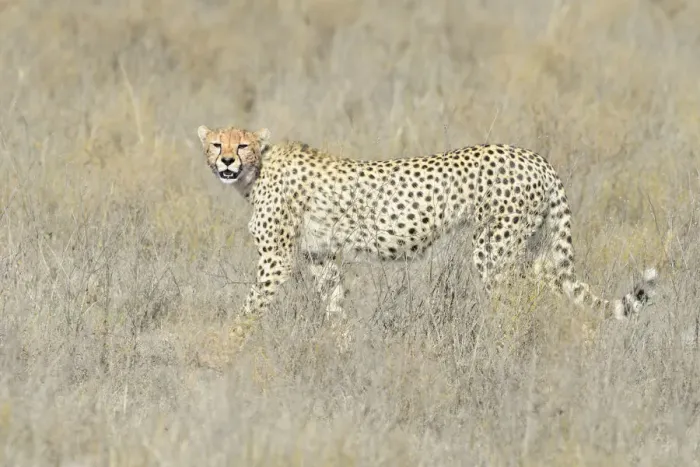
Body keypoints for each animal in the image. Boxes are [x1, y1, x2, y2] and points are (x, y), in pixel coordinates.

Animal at [196, 125, 657, 323]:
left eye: (243, 145)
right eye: (217, 143)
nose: (227, 161)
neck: (257, 172)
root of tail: (533, 155)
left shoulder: (276, 260)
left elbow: (249, 309)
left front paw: (227, 349)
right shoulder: (320, 257)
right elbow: (335, 304)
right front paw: (340, 350)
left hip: (493, 249)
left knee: (519, 296)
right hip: (528, 244)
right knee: (549, 280)